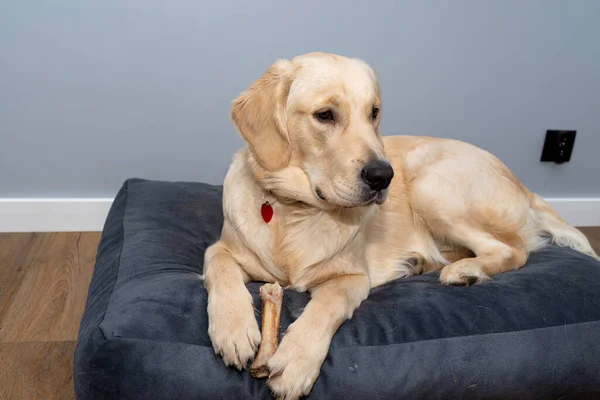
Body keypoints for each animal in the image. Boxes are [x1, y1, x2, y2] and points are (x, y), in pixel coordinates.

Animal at [203, 51, 600, 398]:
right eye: (325, 115)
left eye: (374, 113)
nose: (383, 176)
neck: (294, 210)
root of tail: (520, 182)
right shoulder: (222, 248)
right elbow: (219, 266)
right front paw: (233, 328)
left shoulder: (352, 278)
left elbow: (326, 305)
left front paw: (296, 360)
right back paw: (426, 262)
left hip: (432, 184)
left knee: (511, 250)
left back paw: (465, 271)